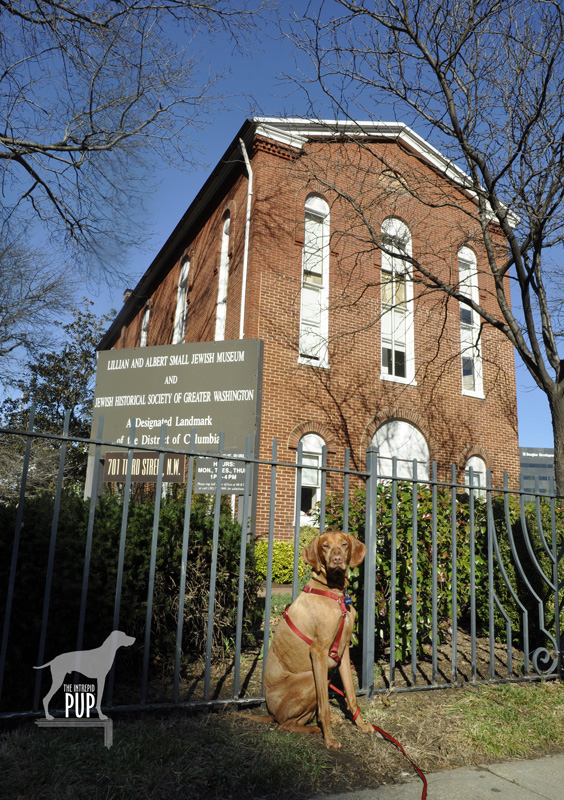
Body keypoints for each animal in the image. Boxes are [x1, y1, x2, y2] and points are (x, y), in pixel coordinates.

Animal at [264, 532, 374, 752]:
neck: (336, 593)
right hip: (310, 678)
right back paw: (315, 729)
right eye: (325, 546)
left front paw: (361, 724)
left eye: (344, 544)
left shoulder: (343, 652)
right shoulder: (319, 652)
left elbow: (351, 695)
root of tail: (271, 713)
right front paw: (329, 739)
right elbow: (324, 706)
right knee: (285, 725)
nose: (337, 559)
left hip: (327, 674)